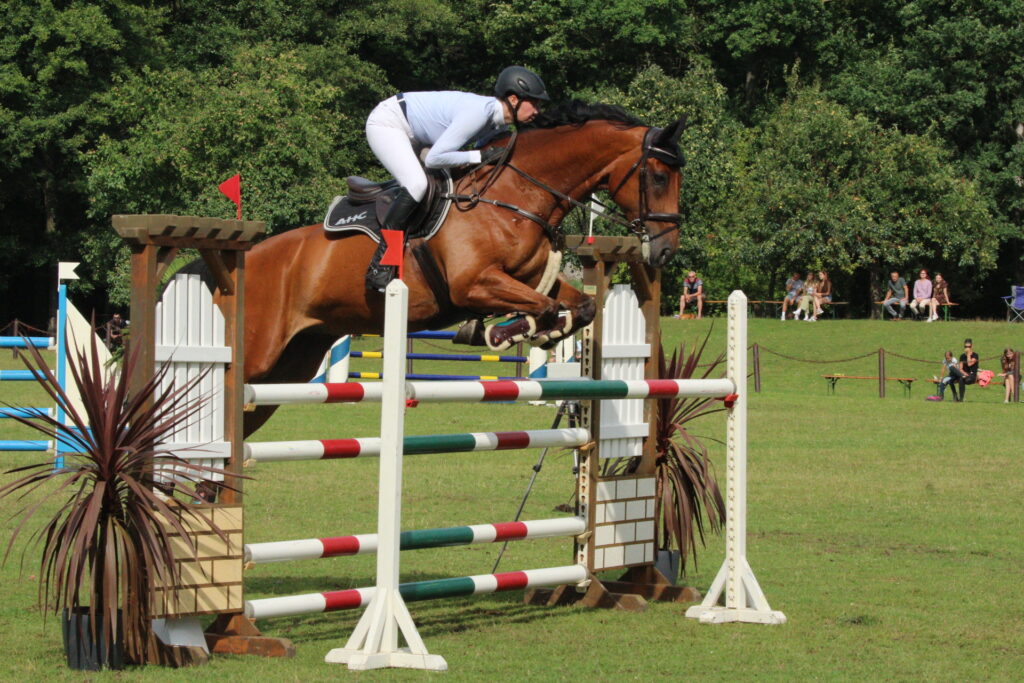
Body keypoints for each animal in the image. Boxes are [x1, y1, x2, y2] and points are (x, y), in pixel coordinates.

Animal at [240, 104, 688, 436]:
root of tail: (253, 256)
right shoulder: (472, 285)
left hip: (292, 363)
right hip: (261, 356)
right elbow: (542, 307)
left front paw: (531, 332)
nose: (666, 251)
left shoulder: (528, 278)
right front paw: (499, 332)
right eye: (659, 176)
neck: (515, 195)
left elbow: (580, 307)